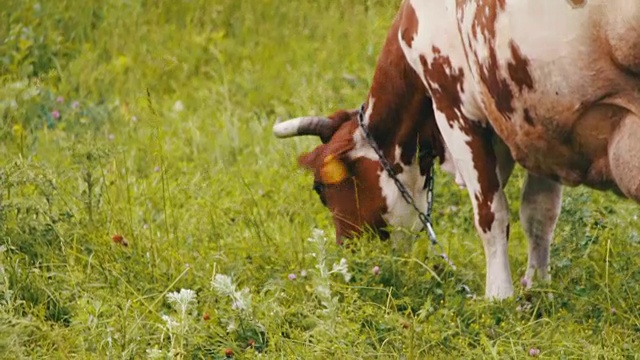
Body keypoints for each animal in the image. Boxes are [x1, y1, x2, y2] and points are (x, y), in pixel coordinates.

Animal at [272, 0, 640, 300]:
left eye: (321, 189)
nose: (350, 266)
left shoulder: (453, 106)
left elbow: (491, 214)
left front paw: (499, 296)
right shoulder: (536, 121)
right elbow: (539, 214)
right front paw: (537, 284)